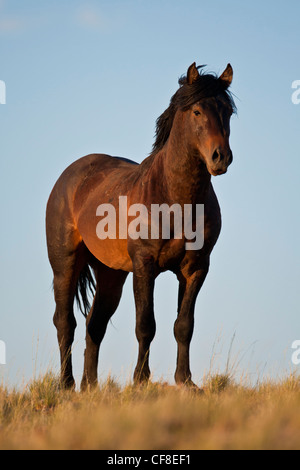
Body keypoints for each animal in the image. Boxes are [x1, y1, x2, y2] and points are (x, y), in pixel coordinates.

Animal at [45, 61, 236, 390]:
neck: (175, 198)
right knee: (65, 322)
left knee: (94, 324)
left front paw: (186, 381)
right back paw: (66, 384)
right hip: (65, 265)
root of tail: (71, 175)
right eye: (197, 111)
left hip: (111, 274)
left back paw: (90, 387)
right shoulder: (145, 266)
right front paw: (141, 380)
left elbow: (184, 325)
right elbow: (146, 324)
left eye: (228, 111)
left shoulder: (196, 268)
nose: (220, 157)